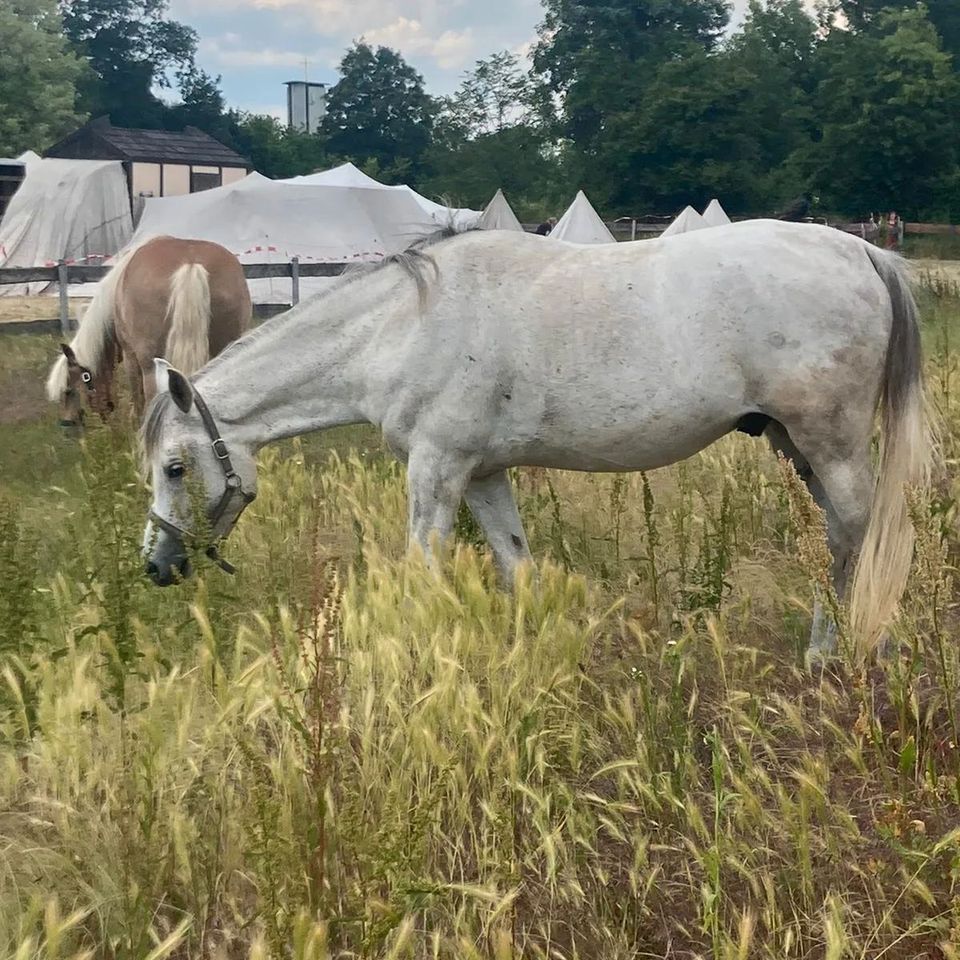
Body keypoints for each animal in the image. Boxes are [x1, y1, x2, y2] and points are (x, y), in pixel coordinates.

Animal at [47, 236, 251, 428]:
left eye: (68, 390)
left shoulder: (130, 357)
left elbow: (138, 399)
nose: (67, 424)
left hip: (151, 366)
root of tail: (191, 264)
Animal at [139, 221, 932, 660]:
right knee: (836, 538)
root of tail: (861, 253)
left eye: (174, 468)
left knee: (857, 533)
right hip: (795, 445)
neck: (402, 327)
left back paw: (843, 649)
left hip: (829, 442)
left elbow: (423, 572)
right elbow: (517, 568)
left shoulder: (437, 472)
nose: (156, 567)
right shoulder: (483, 475)